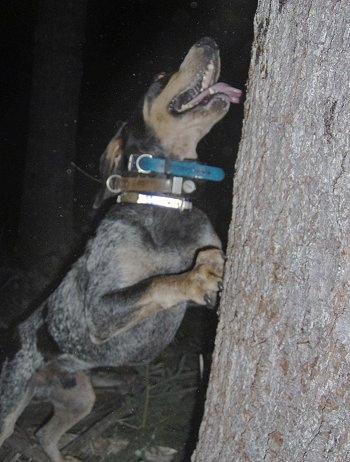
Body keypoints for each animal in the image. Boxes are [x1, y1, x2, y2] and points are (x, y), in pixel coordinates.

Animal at [0, 37, 241, 462]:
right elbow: (158, 283)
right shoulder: (100, 311)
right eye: (160, 75)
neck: (163, 203)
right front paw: (195, 277)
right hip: (11, 401)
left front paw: (209, 265)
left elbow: (208, 253)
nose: (208, 41)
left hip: (80, 398)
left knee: (45, 435)